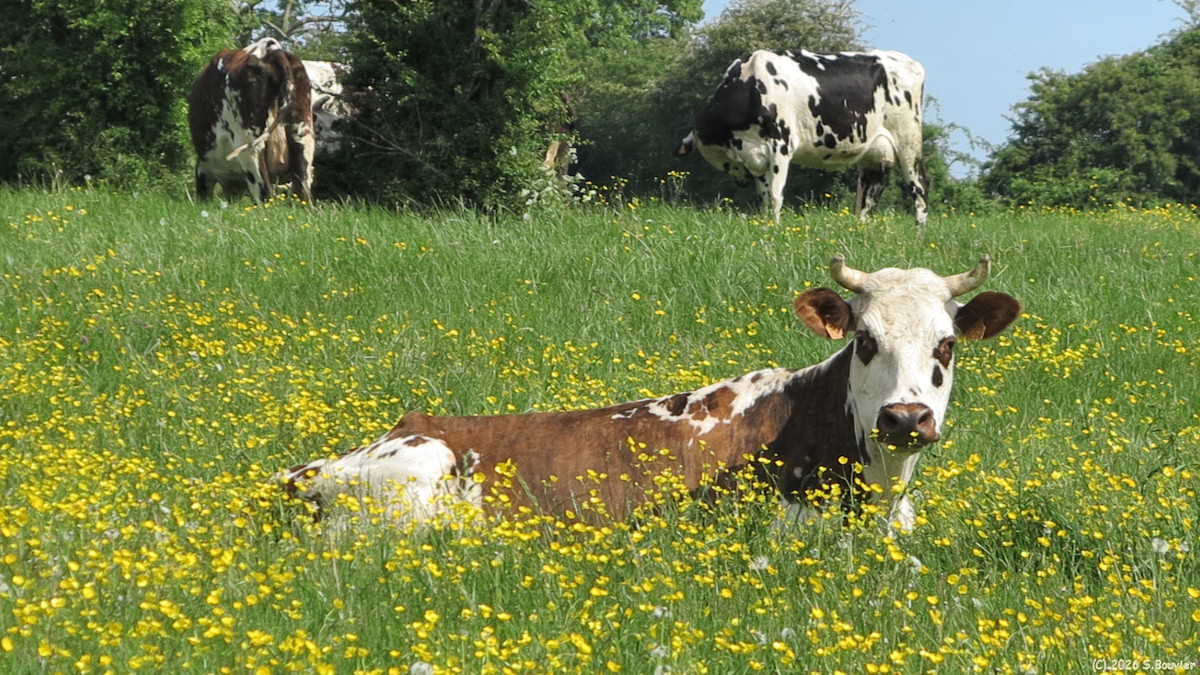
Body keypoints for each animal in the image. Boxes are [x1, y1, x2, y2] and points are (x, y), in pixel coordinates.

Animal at [188, 38, 315, 205]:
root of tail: (270, 48)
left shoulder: (203, 171)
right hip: (302, 135)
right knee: (303, 191)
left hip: (250, 146)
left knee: (265, 193)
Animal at [676, 49, 929, 225]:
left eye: (727, 164)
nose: (741, 181)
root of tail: (908, 62)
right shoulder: (759, 159)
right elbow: (764, 196)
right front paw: (766, 224)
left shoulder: (780, 146)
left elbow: (776, 195)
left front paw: (775, 228)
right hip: (874, 154)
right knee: (870, 194)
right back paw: (860, 229)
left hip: (908, 141)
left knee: (919, 186)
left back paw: (920, 232)